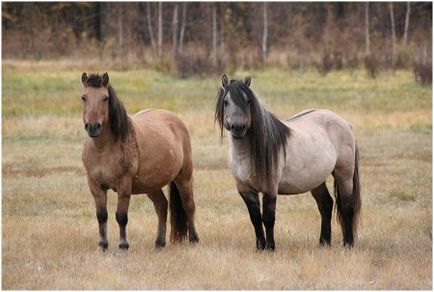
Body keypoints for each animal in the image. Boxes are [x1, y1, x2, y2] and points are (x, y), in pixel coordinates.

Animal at [80, 72, 199, 250]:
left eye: (105, 98)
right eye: (84, 97)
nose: (93, 126)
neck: (103, 149)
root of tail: (176, 120)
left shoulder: (124, 184)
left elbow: (121, 216)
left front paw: (123, 245)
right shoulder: (95, 184)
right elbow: (101, 216)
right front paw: (102, 245)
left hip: (183, 177)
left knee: (188, 205)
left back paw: (194, 239)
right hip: (151, 185)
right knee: (161, 206)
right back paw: (159, 242)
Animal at [215, 75, 362, 251]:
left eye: (248, 101)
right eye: (226, 102)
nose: (238, 127)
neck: (246, 155)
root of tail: (345, 123)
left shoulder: (270, 188)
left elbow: (268, 218)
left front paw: (270, 248)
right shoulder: (245, 189)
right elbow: (255, 219)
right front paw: (260, 247)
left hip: (344, 174)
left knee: (347, 206)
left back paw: (348, 244)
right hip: (316, 179)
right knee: (325, 204)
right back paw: (323, 242)